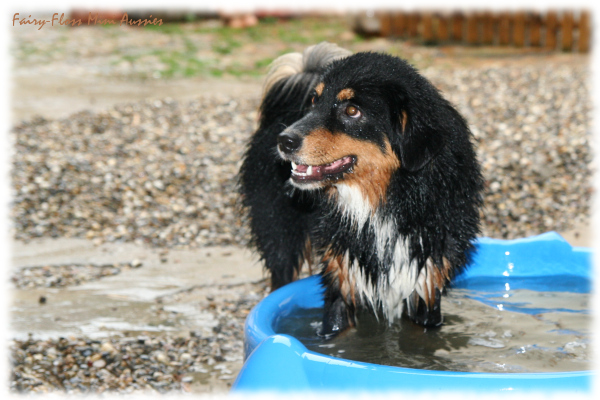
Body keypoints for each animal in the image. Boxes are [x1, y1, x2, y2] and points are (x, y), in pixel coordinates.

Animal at [238, 43, 482, 338]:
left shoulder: (426, 280)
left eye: (352, 111)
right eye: (314, 101)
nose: (284, 141)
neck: (387, 202)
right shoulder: (341, 273)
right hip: (279, 230)